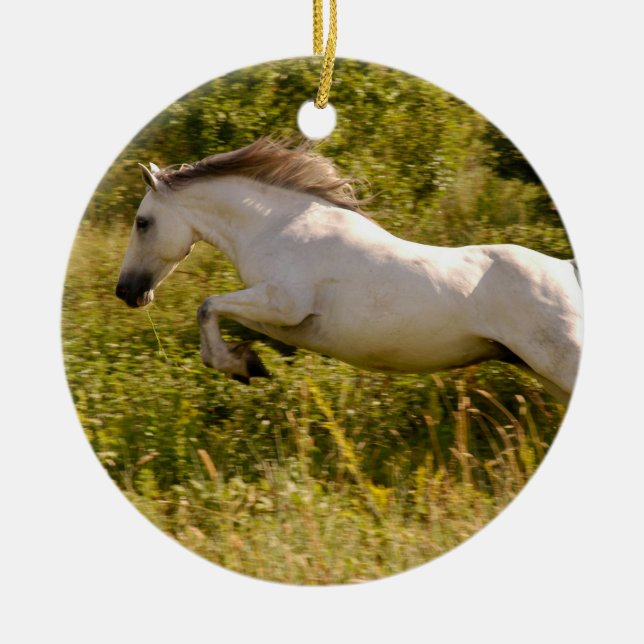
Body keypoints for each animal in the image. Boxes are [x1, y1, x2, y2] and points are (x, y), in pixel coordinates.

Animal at [115, 138, 582, 404]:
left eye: (142, 222)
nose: (126, 292)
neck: (278, 226)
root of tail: (567, 272)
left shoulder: (284, 304)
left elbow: (207, 306)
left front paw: (242, 365)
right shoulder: (281, 320)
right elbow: (220, 315)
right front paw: (247, 361)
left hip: (560, 363)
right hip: (541, 372)